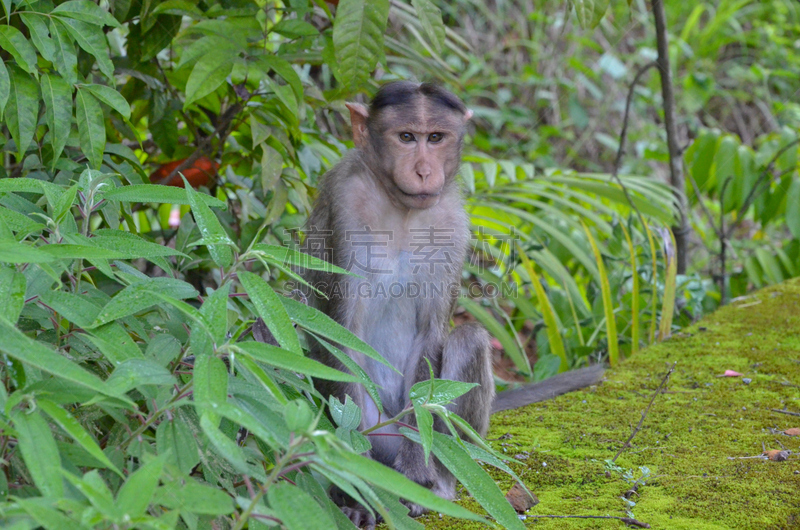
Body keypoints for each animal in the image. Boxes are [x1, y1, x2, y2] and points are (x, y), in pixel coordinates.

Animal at [300, 80, 600, 524]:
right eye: (407, 137)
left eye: (436, 138)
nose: (425, 170)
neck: (402, 210)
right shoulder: (345, 200)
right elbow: (339, 332)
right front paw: (353, 489)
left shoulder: (453, 222)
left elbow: (432, 334)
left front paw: (416, 471)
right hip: (376, 428)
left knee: (468, 340)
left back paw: (434, 485)